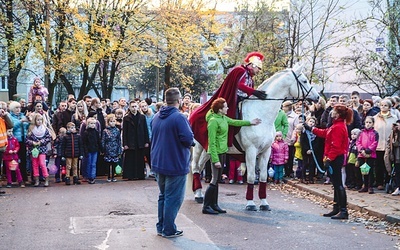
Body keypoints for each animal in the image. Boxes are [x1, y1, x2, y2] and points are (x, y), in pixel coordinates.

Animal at [190, 63, 318, 211]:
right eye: (304, 81)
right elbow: (251, 176)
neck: (262, 114)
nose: (317, 97)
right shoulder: (251, 151)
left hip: (208, 150)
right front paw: (250, 203)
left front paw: (264, 202)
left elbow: (262, 176)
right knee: (195, 167)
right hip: (199, 147)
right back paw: (198, 195)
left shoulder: (266, 151)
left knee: (200, 166)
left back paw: (199, 194)